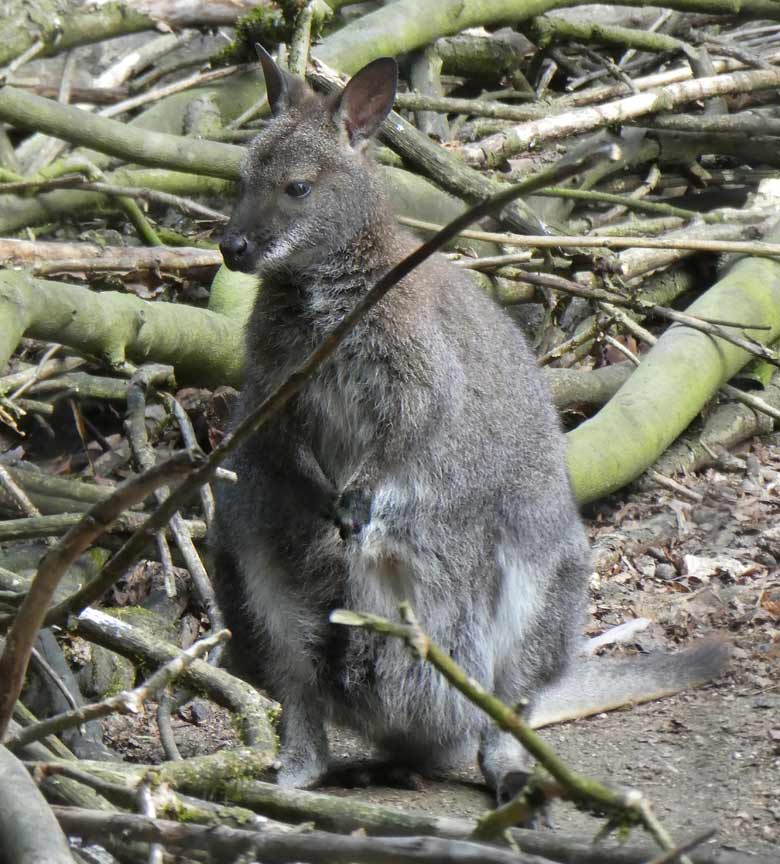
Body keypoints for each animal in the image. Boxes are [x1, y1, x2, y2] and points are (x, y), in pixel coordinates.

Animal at [211, 47, 729, 803]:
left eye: (298, 189)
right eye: (240, 179)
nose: (233, 249)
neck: (319, 290)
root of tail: (421, 731)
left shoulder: (420, 366)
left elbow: (413, 423)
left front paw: (357, 504)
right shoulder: (274, 384)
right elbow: (283, 441)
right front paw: (329, 507)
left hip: (539, 570)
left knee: (507, 707)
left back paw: (507, 773)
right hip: (244, 559)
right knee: (299, 684)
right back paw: (295, 777)